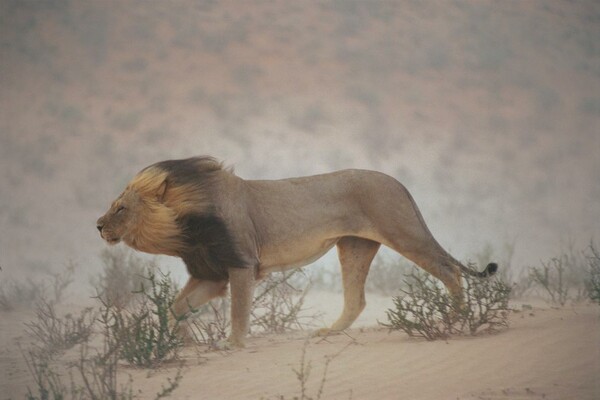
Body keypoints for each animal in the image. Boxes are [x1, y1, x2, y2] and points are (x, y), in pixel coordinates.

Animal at [95, 155, 496, 346]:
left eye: (121, 209)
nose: (97, 225)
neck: (183, 226)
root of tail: (397, 182)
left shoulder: (241, 265)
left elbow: (238, 312)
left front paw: (232, 345)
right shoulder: (211, 275)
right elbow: (177, 308)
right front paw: (187, 342)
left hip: (405, 233)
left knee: (450, 270)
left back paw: (455, 318)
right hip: (355, 246)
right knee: (357, 300)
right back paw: (329, 332)